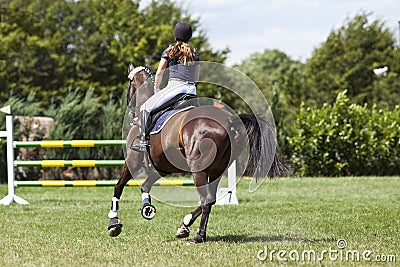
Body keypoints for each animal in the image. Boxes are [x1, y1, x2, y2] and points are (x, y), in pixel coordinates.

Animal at [106, 62, 288, 245]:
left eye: (129, 84)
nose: (130, 111)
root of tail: (229, 119)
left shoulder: (133, 160)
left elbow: (118, 186)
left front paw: (114, 222)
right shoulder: (162, 167)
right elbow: (145, 185)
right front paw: (147, 208)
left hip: (198, 169)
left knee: (206, 199)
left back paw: (198, 236)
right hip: (218, 169)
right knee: (211, 199)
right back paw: (185, 225)